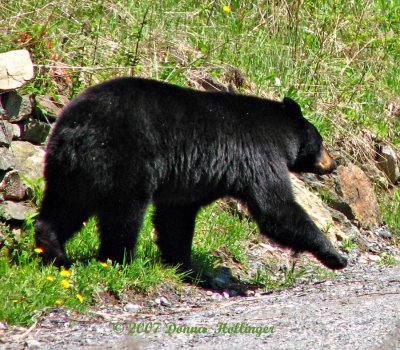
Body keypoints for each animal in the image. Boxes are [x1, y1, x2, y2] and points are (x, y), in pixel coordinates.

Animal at [34, 77, 346, 274]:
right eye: (321, 141)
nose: (334, 164)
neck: (280, 133)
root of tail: (75, 125)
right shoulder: (260, 155)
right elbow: (275, 208)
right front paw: (334, 254)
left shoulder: (187, 183)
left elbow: (176, 218)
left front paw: (183, 264)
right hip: (122, 163)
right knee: (123, 215)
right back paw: (119, 259)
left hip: (70, 170)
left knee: (64, 207)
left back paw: (53, 253)